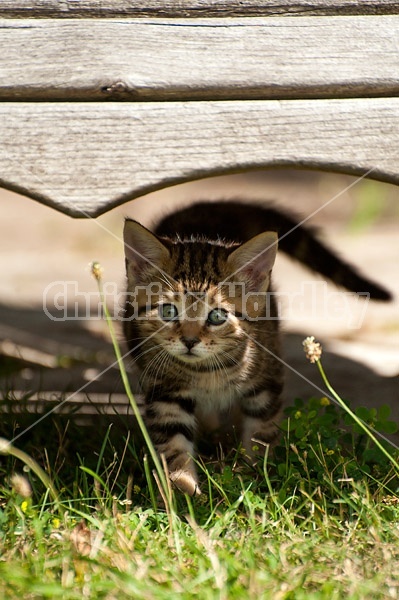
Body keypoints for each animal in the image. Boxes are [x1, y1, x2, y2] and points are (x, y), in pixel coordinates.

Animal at [123, 199, 392, 494]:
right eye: (169, 311)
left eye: (217, 316)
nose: (190, 341)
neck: (207, 371)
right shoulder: (164, 391)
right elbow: (173, 443)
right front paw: (184, 490)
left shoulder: (266, 380)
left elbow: (261, 431)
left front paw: (256, 475)